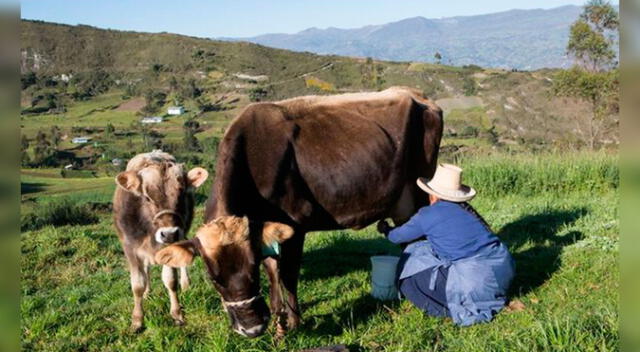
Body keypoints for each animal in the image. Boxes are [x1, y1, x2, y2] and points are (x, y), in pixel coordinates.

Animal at [112, 150, 208, 332]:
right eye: (147, 197)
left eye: (182, 194)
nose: (169, 234)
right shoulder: (130, 249)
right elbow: (138, 285)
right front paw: (137, 320)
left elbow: (171, 281)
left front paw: (176, 314)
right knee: (147, 269)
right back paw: (148, 292)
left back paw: (186, 284)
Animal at [158, 86, 442, 336]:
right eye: (213, 278)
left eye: (251, 269)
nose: (252, 329)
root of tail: (417, 95)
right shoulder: (265, 230)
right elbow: (273, 270)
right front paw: (278, 321)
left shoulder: (296, 225)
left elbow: (287, 274)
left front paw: (293, 322)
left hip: (419, 191)